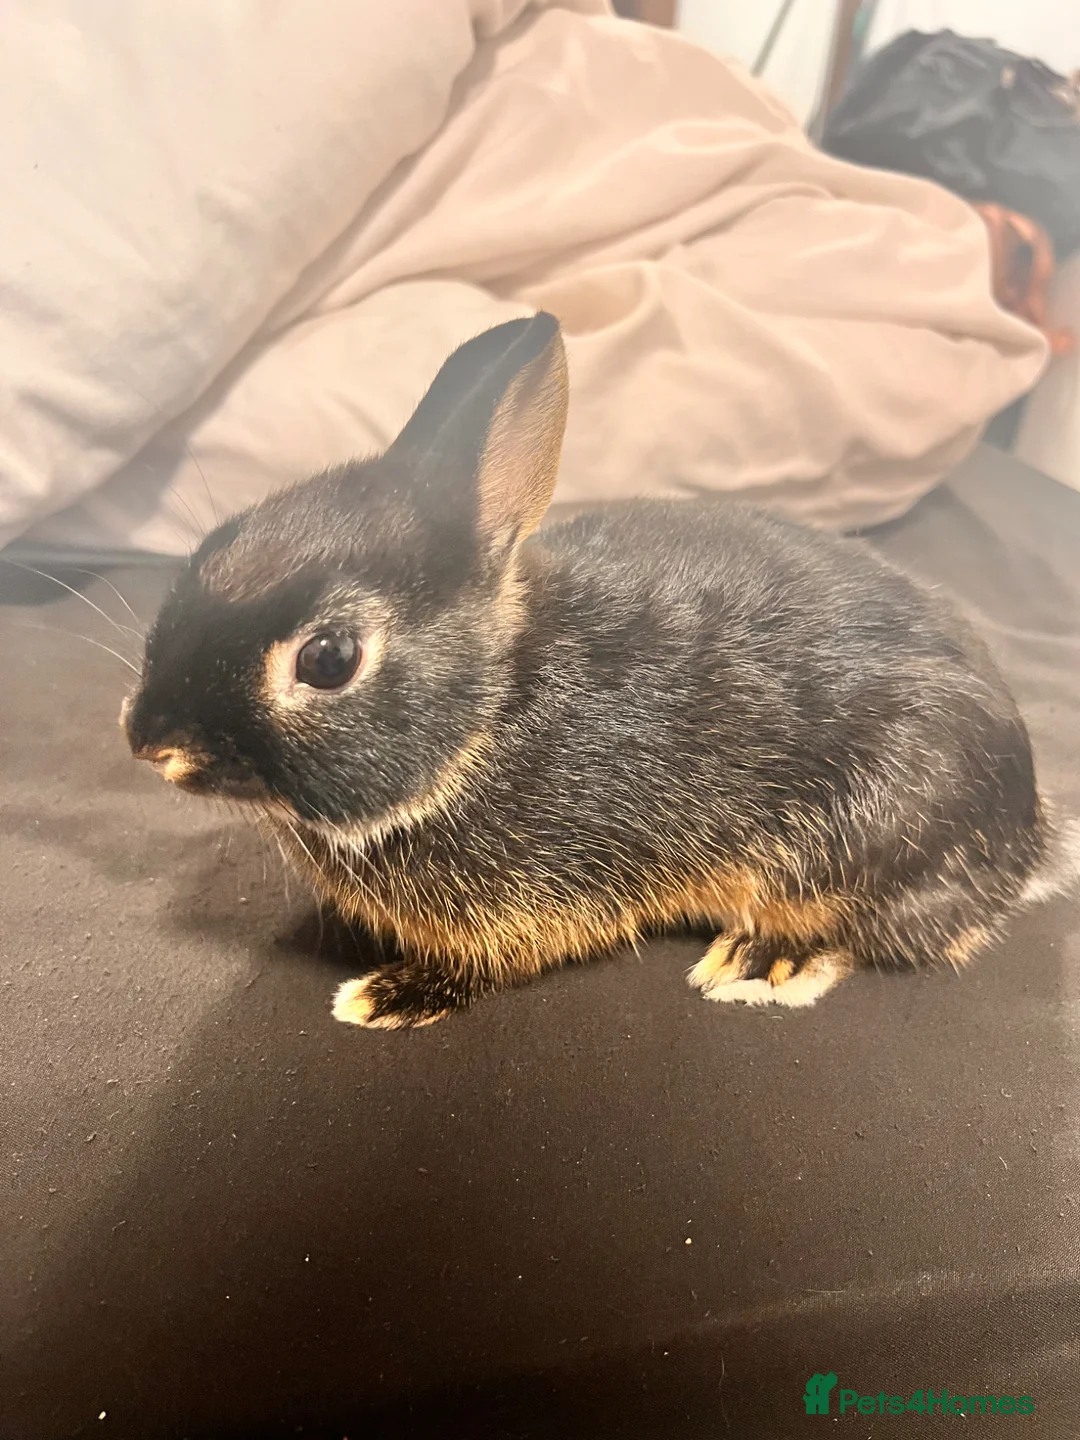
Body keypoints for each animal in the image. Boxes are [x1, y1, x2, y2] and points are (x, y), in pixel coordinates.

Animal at [124, 311, 1064, 1029]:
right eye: (217, 542)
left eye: (327, 659)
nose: (149, 743)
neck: (490, 713)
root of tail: (1029, 839)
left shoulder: (541, 899)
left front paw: (387, 996)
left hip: (866, 834)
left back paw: (759, 958)